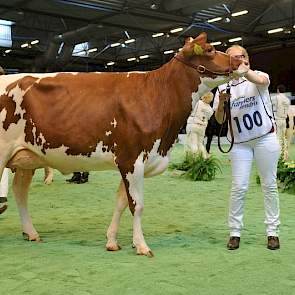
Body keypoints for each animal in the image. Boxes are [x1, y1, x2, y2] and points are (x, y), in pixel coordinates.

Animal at [0, 33, 243, 256]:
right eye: (210, 49)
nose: (241, 62)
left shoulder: (132, 162)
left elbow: (121, 202)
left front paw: (112, 241)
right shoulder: (131, 158)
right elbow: (137, 205)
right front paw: (142, 245)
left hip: (26, 159)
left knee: (20, 192)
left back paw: (31, 233)